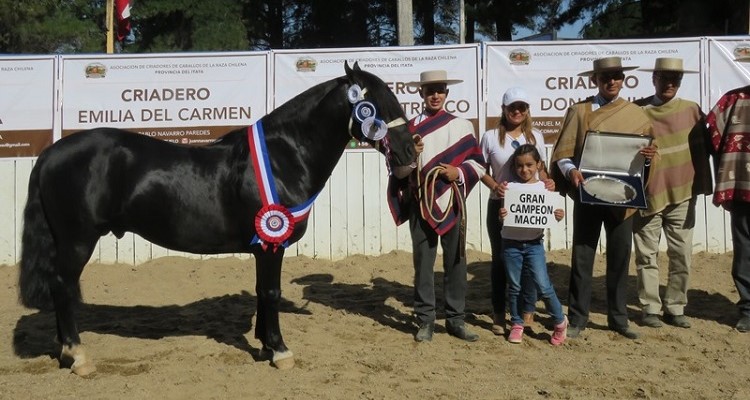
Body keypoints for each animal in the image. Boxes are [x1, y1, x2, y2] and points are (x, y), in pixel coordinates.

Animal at [16, 62, 418, 376]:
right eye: (376, 104)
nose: (410, 152)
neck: (284, 157)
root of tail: (51, 153)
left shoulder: (262, 246)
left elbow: (261, 291)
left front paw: (264, 346)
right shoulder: (272, 244)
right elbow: (271, 292)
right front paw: (280, 351)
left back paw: (64, 352)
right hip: (77, 240)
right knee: (63, 287)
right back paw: (79, 356)